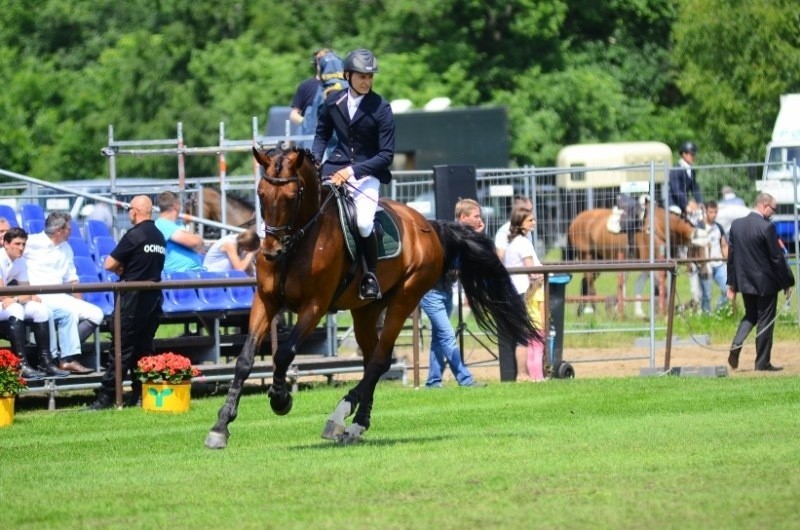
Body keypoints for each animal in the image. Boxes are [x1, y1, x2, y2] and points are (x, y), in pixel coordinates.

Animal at [205, 144, 536, 446]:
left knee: (378, 361)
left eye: (290, 198)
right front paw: (221, 426)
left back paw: (341, 417)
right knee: (374, 361)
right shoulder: (266, 301)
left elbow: (284, 352)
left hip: (405, 298)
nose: (271, 252)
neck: (298, 241)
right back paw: (356, 423)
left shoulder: (315, 306)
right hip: (366, 309)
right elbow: (245, 359)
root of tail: (428, 226)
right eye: (261, 194)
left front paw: (280, 399)